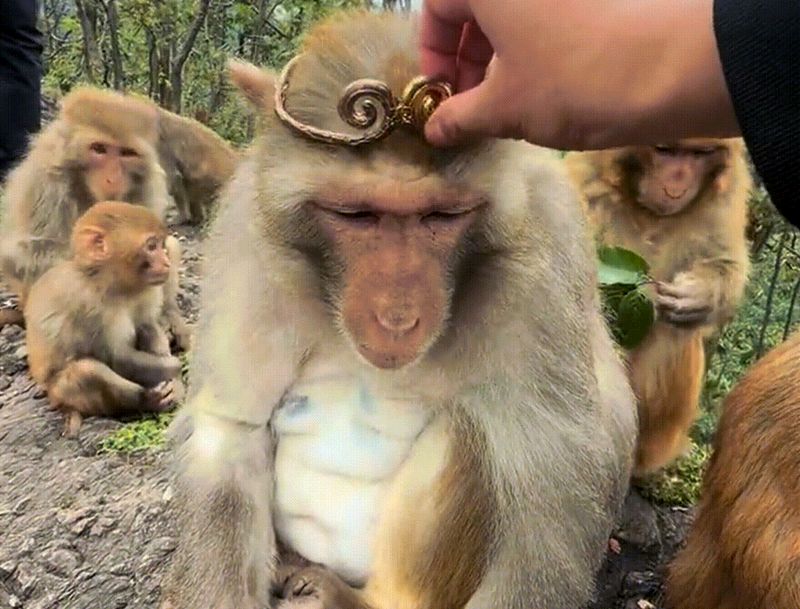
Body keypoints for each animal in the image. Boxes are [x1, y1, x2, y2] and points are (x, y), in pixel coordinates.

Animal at [0, 85, 191, 350]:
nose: (112, 179)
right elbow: (27, 254)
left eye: (126, 153)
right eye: (99, 149)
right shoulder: (46, 181)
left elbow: (159, 241)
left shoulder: (149, 183)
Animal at [24, 201, 184, 437]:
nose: (166, 262)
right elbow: (116, 357)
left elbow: (147, 326)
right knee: (86, 371)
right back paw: (146, 401)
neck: (111, 285)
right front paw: (175, 368)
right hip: (62, 393)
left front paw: (175, 382)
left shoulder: (145, 291)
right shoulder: (86, 303)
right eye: (151, 246)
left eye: (160, 244)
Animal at [158, 10, 638, 609]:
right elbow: (229, 430)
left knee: (472, 429)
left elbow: (554, 479)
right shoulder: (248, 235)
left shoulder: (545, 247)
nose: (397, 316)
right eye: (356, 215)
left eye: (441, 216)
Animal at [564, 138, 751, 477]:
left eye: (700, 153)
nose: (677, 183)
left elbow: (727, 263)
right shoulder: (587, 179)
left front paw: (699, 295)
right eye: (664, 150)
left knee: (673, 330)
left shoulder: (728, 194)